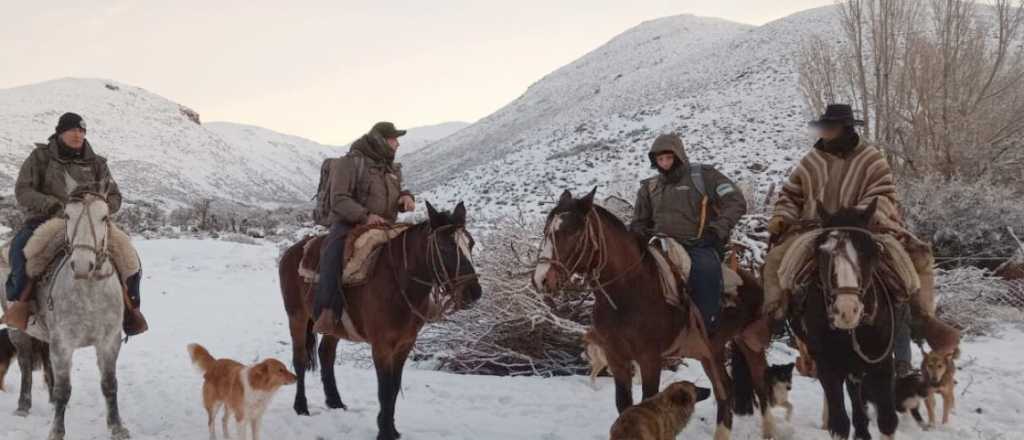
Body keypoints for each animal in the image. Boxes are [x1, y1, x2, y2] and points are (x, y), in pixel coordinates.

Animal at [278, 201, 481, 440]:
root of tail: (291, 251)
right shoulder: (381, 346)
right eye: (445, 247)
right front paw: (384, 432)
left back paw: (335, 402)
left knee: (326, 354)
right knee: (300, 360)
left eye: (471, 243)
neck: (399, 282)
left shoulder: (404, 344)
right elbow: (384, 389)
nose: (474, 292)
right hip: (297, 317)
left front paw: (391, 428)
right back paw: (301, 406)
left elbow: (393, 387)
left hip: (333, 325)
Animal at [532, 189, 770, 440]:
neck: (627, 293)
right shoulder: (617, 359)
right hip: (710, 352)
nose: (542, 279)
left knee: (759, 385)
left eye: (572, 231)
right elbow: (624, 406)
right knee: (724, 387)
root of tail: (752, 279)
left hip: (749, 343)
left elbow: (648, 403)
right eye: (547, 231)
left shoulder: (650, 360)